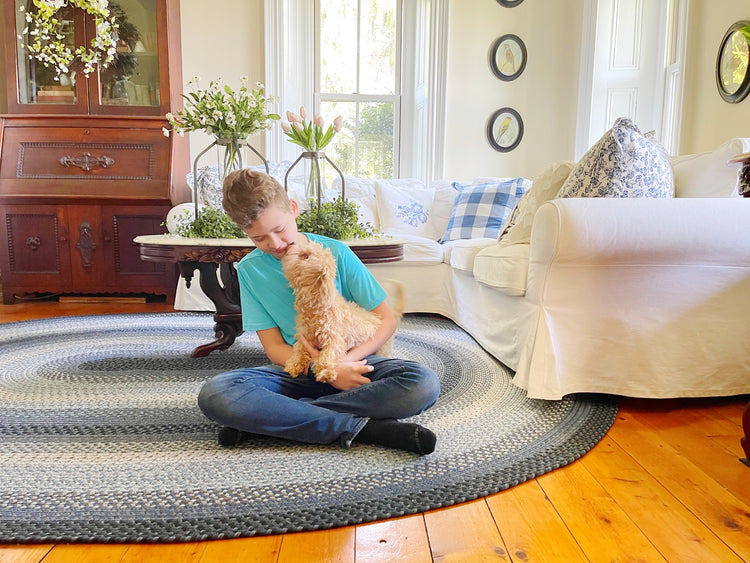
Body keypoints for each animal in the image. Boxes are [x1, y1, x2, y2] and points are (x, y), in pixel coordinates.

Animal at [282, 238, 400, 384]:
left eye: (305, 256)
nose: (291, 243)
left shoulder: (334, 339)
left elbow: (328, 354)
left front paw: (325, 372)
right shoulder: (305, 336)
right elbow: (299, 350)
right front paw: (294, 365)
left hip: (382, 348)